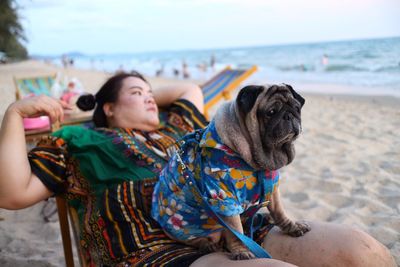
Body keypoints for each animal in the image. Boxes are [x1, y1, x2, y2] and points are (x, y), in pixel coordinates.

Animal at [152, 84, 310, 260]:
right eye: (270, 112)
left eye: (297, 108)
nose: (289, 115)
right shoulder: (224, 200)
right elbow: (236, 232)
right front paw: (242, 251)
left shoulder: (273, 190)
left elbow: (280, 212)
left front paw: (292, 227)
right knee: (196, 240)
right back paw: (207, 244)